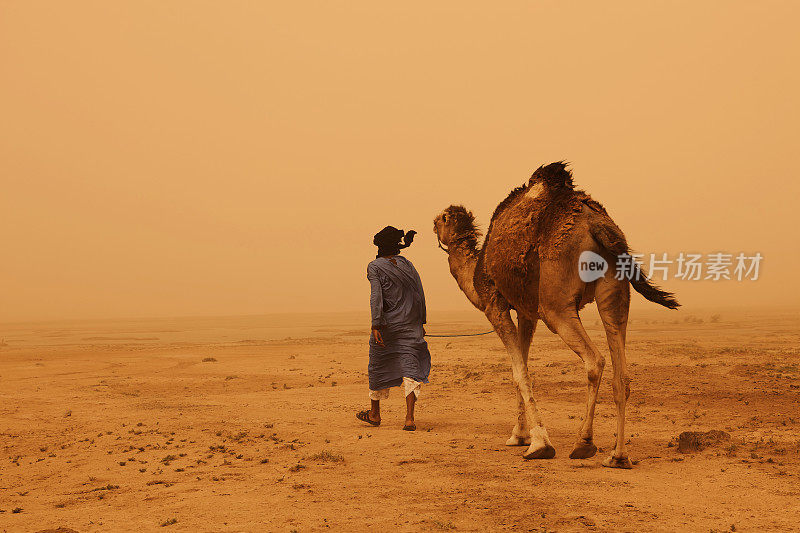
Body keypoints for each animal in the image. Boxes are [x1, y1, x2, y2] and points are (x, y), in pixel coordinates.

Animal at [434, 161, 680, 466]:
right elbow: (523, 366)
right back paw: (618, 456)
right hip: (614, 287)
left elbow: (519, 372)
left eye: (441, 219)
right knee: (621, 372)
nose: (432, 224)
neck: (475, 270)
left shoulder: (495, 304)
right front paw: (519, 436)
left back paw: (583, 443)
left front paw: (539, 444)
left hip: (555, 299)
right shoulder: (527, 312)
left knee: (594, 360)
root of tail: (597, 224)